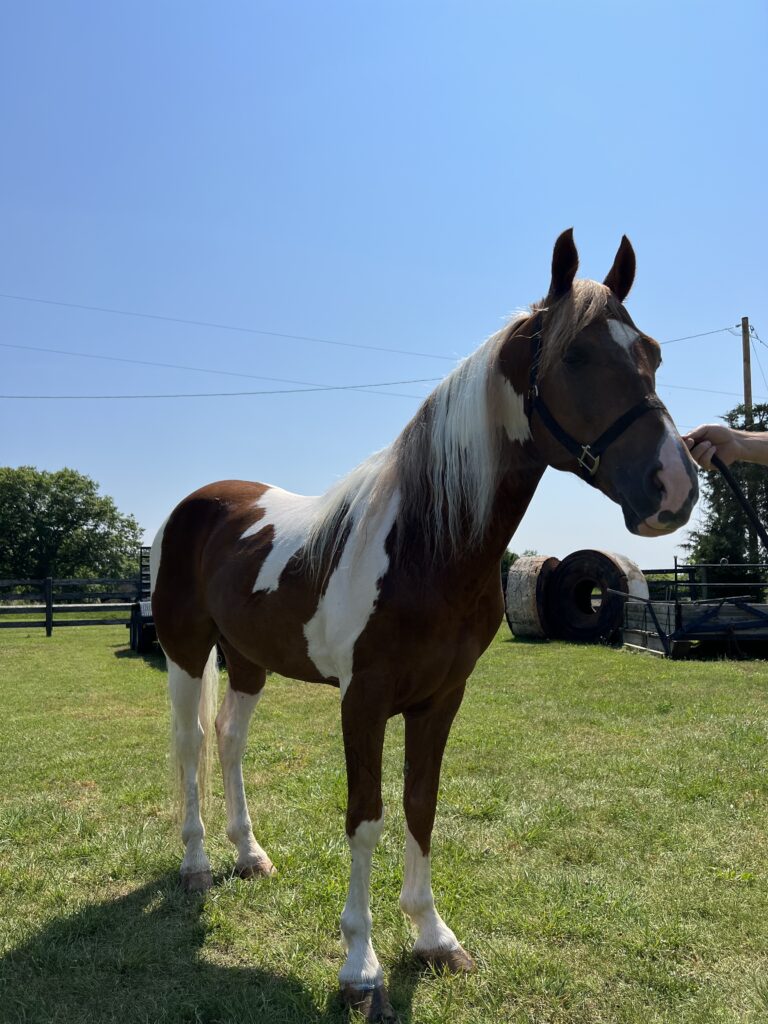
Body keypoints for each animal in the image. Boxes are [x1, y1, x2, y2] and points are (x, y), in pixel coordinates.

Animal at [150, 230, 698, 1021]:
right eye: (576, 356)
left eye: (651, 352)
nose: (675, 487)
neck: (426, 544)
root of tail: (200, 503)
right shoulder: (363, 701)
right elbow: (367, 816)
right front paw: (360, 967)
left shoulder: (440, 698)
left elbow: (420, 805)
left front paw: (434, 938)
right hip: (187, 653)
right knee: (191, 745)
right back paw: (196, 864)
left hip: (248, 661)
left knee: (228, 742)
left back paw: (249, 855)